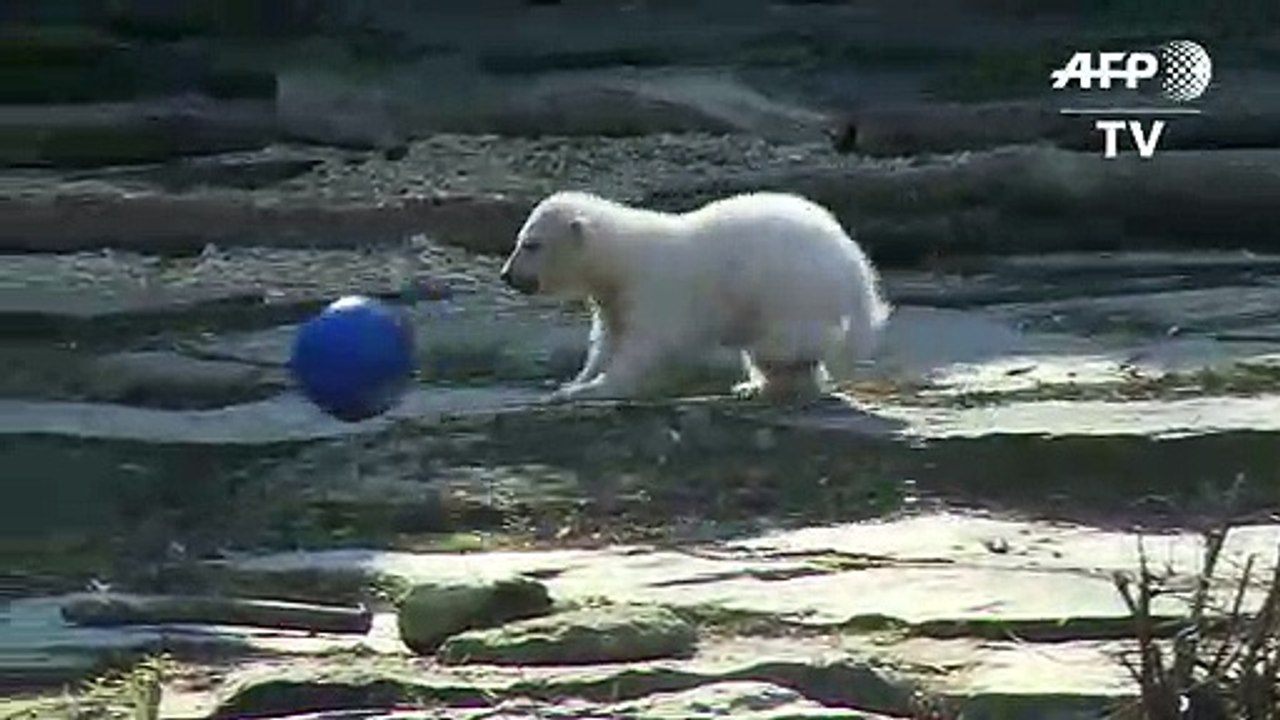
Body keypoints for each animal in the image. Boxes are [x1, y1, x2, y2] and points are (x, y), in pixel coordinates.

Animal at [499, 190, 891, 404]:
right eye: (519, 240)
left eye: (531, 245)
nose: (506, 275)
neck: (622, 257)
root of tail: (854, 262)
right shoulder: (614, 297)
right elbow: (607, 340)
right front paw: (572, 383)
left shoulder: (657, 287)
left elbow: (644, 346)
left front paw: (591, 390)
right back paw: (754, 386)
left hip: (791, 290)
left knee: (782, 342)